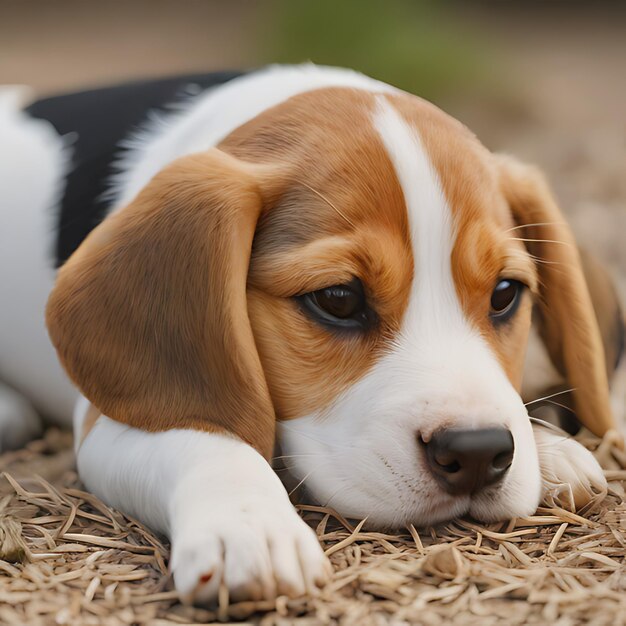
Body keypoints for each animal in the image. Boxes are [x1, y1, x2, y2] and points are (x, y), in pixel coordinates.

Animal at [1, 64, 624, 600]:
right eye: (338, 299)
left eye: (504, 294)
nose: (476, 453)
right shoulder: (108, 421)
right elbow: (208, 433)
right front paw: (249, 526)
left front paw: (549, 450)